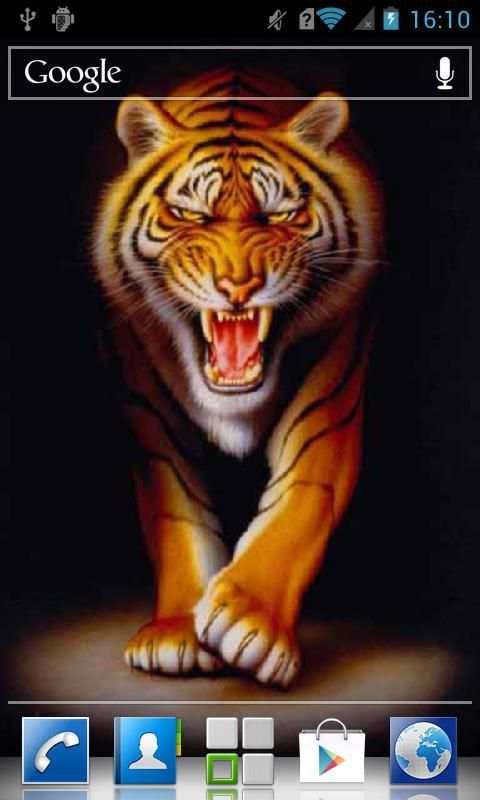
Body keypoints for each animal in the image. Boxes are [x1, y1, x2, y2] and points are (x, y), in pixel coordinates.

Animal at [94, 68, 384, 688]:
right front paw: (173, 632)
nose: (237, 286)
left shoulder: (330, 400)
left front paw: (251, 623)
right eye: (191, 215)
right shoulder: (150, 416)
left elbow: (299, 507)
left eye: (278, 216)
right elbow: (177, 517)